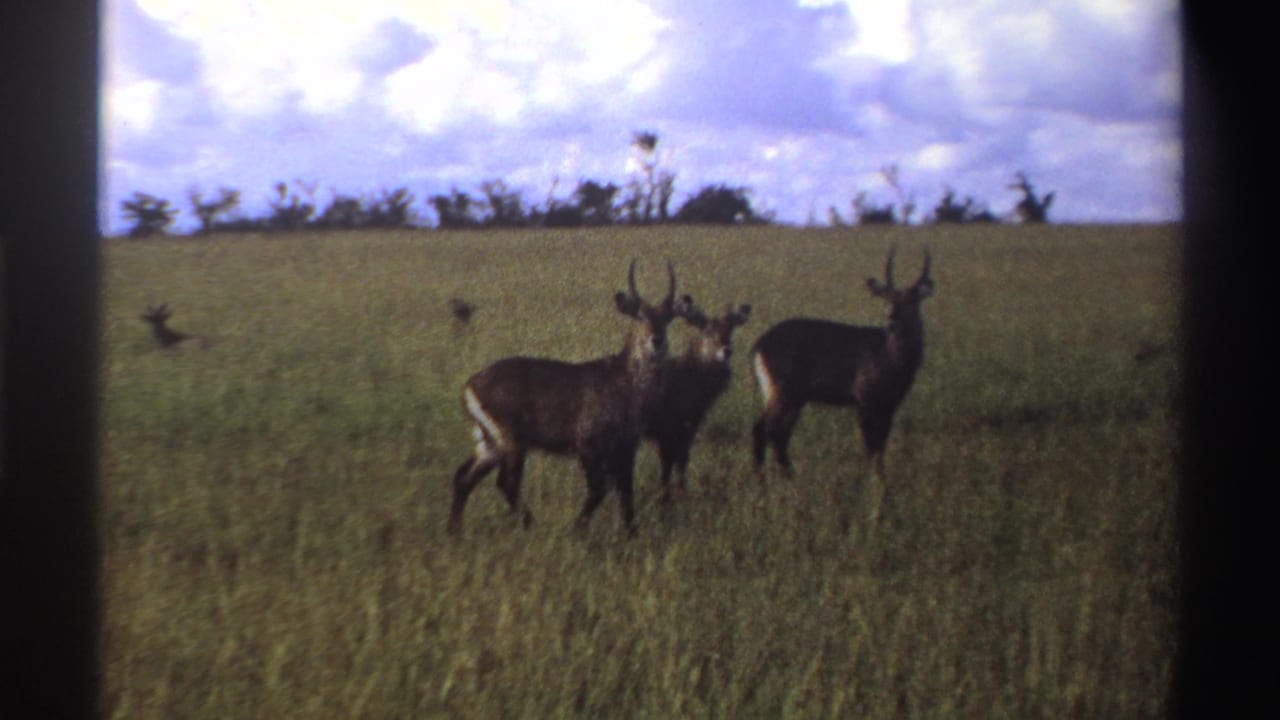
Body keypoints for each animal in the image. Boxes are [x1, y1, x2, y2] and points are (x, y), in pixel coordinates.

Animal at [448, 260, 689, 536]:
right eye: (639, 316)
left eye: (668, 317)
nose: (656, 340)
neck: (626, 381)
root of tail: (470, 385)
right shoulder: (587, 444)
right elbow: (598, 489)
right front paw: (578, 529)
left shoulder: (626, 447)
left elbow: (626, 493)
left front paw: (631, 534)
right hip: (512, 441)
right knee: (506, 483)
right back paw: (531, 525)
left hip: (490, 443)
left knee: (464, 476)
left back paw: (455, 532)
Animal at [645, 299, 751, 501]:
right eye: (708, 330)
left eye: (730, 329)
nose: (726, 350)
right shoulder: (669, 431)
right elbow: (669, 463)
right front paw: (667, 496)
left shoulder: (688, 428)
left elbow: (681, 460)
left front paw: (679, 491)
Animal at [750, 247, 934, 489]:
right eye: (887, 299)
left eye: (912, 300)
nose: (892, 320)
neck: (891, 359)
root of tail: (758, 344)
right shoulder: (864, 399)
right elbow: (870, 447)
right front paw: (875, 487)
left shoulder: (889, 406)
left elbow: (880, 447)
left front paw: (883, 484)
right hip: (783, 392)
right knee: (762, 429)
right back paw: (763, 483)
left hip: (794, 397)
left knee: (779, 435)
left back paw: (790, 479)